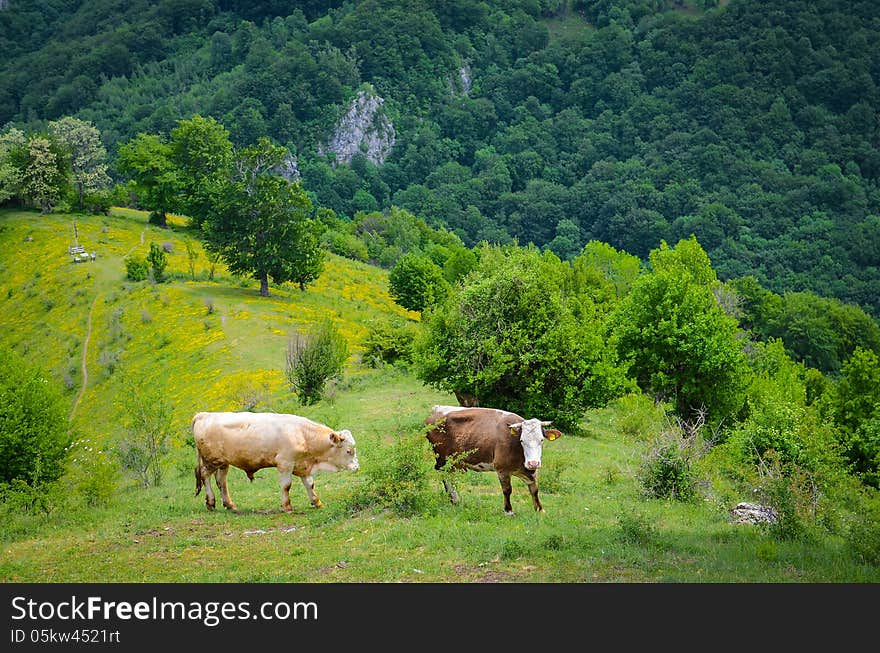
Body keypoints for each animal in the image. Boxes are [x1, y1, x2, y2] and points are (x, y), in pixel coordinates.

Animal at [426, 402, 564, 516]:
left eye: (541, 440)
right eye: (521, 441)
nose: (533, 463)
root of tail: (437, 409)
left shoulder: (530, 471)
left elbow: (534, 489)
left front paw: (540, 509)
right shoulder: (502, 469)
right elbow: (507, 490)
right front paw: (508, 511)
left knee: (451, 476)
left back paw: (454, 500)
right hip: (442, 459)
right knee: (445, 476)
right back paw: (454, 499)